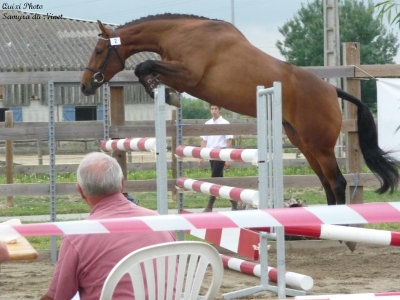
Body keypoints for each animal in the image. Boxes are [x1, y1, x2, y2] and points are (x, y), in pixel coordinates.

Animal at [79, 14, 398, 206]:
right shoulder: (179, 72)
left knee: (338, 182)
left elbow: (144, 66)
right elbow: (146, 69)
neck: (180, 33)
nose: (85, 86)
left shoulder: (189, 74)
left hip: (319, 145)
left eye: (99, 51)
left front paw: (167, 95)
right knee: (327, 184)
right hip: (304, 144)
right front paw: (164, 92)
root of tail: (332, 90)